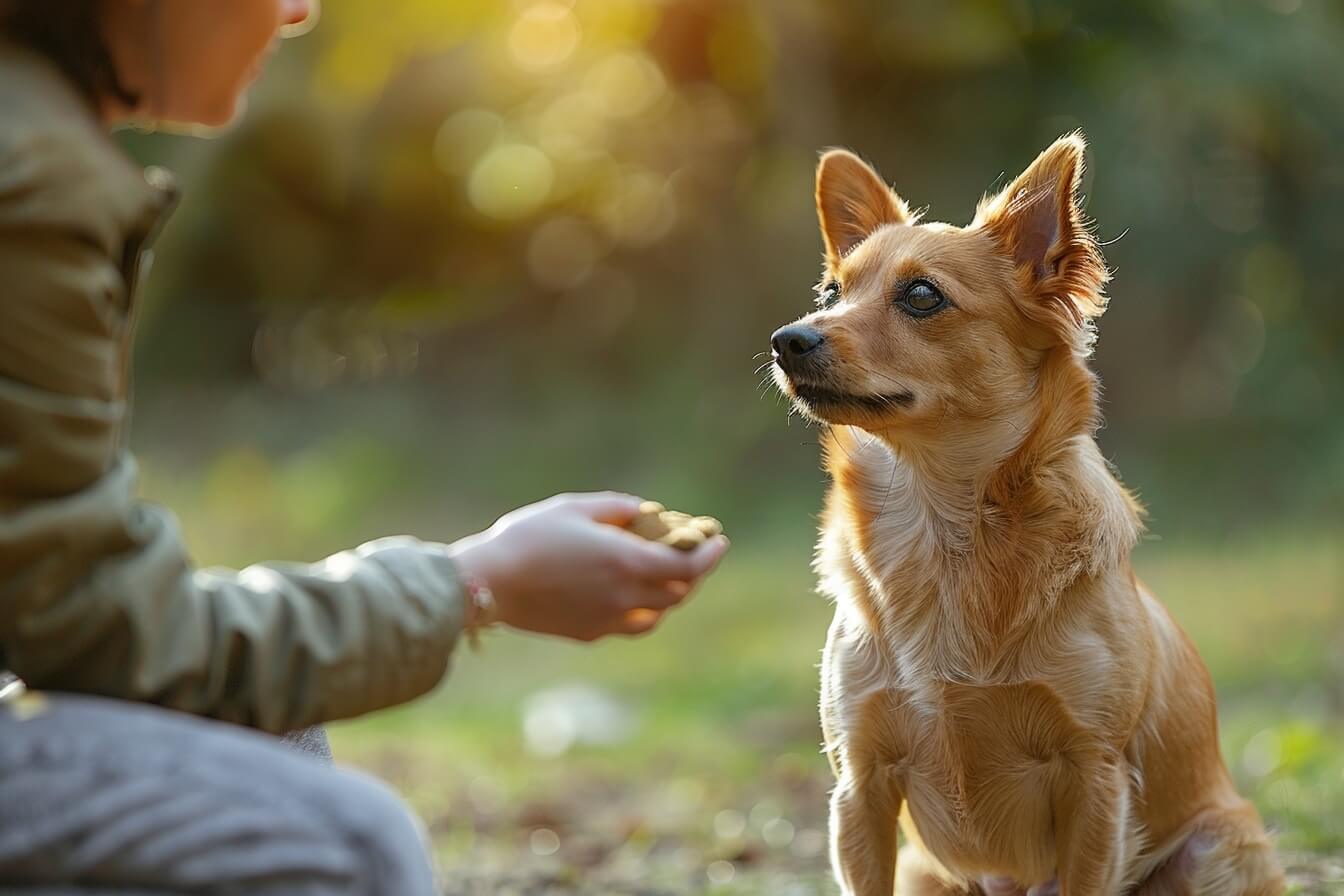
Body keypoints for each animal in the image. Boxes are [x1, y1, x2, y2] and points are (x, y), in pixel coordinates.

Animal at [774, 132, 1284, 896]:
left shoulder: (1094, 780)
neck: (940, 524)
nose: (788, 339)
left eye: (921, 295)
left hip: (1214, 849)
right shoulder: (860, 789)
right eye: (833, 293)